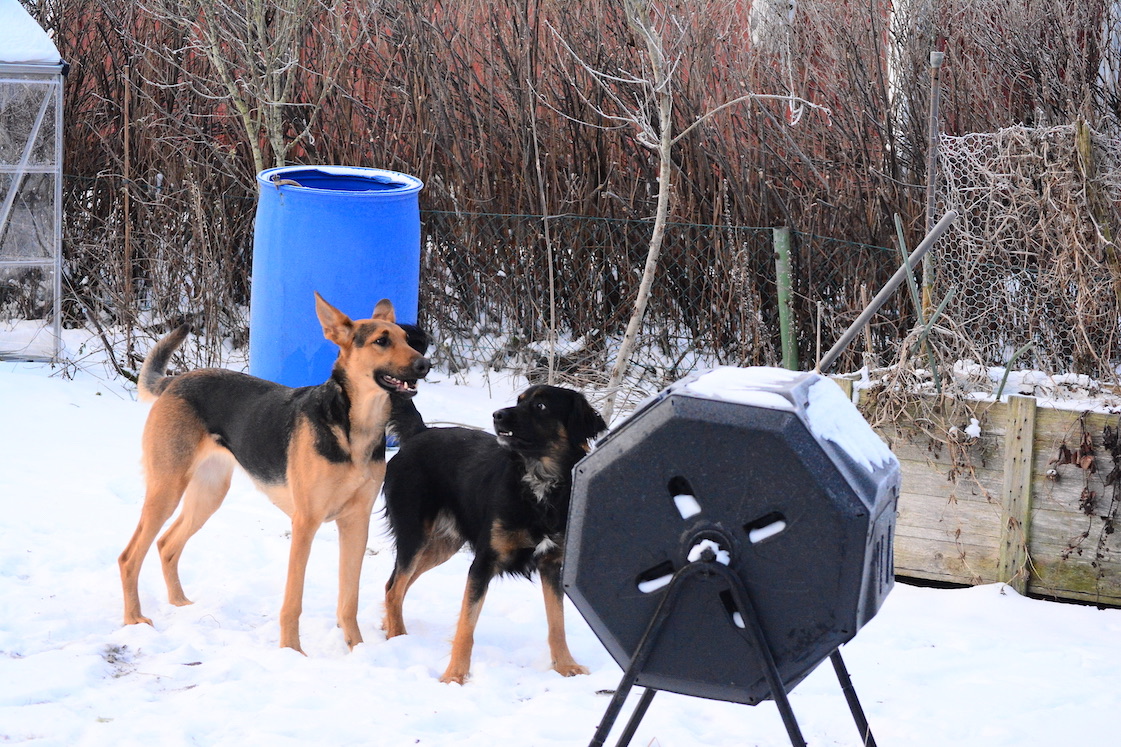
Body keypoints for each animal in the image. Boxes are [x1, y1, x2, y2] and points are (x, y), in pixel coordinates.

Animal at [118, 292, 430, 654]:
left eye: (407, 339)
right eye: (382, 341)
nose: (425, 365)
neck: (355, 429)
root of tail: (174, 381)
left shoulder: (356, 523)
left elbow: (348, 600)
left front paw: (357, 649)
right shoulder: (305, 523)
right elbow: (293, 601)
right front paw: (292, 651)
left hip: (208, 495)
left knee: (167, 544)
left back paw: (180, 604)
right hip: (166, 489)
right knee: (129, 557)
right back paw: (134, 619)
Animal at [381, 384, 608, 683]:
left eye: (541, 406)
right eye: (519, 401)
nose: (497, 415)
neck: (539, 483)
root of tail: (421, 432)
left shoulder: (551, 565)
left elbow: (557, 623)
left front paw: (565, 666)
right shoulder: (483, 563)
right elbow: (466, 627)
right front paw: (454, 676)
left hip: (441, 546)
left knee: (395, 585)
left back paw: (390, 627)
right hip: (414, 536)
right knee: (395, 589)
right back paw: (397, 637)